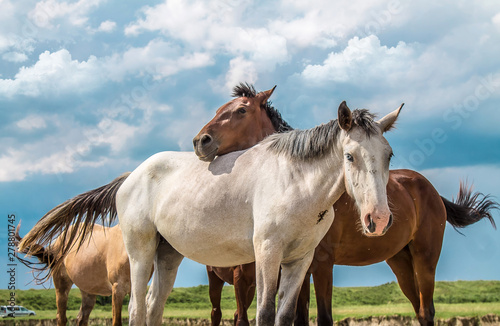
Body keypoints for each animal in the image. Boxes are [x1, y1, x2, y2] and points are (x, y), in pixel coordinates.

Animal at [16, 220, 145, 324]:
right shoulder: (118, 289)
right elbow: (117, 321)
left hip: (88, 291)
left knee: (81, 319)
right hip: (61, 284)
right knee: (61, 317)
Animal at [190, 83, 496, 326]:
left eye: (241, 111)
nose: (200, 141)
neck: (303, 183)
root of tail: (430, 189)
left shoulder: (323, 264)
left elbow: (324, 317)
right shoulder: (297, 265)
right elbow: (298, 317)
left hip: (425, 259)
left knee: (427, 310)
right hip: (400, 261)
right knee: (419, 310)